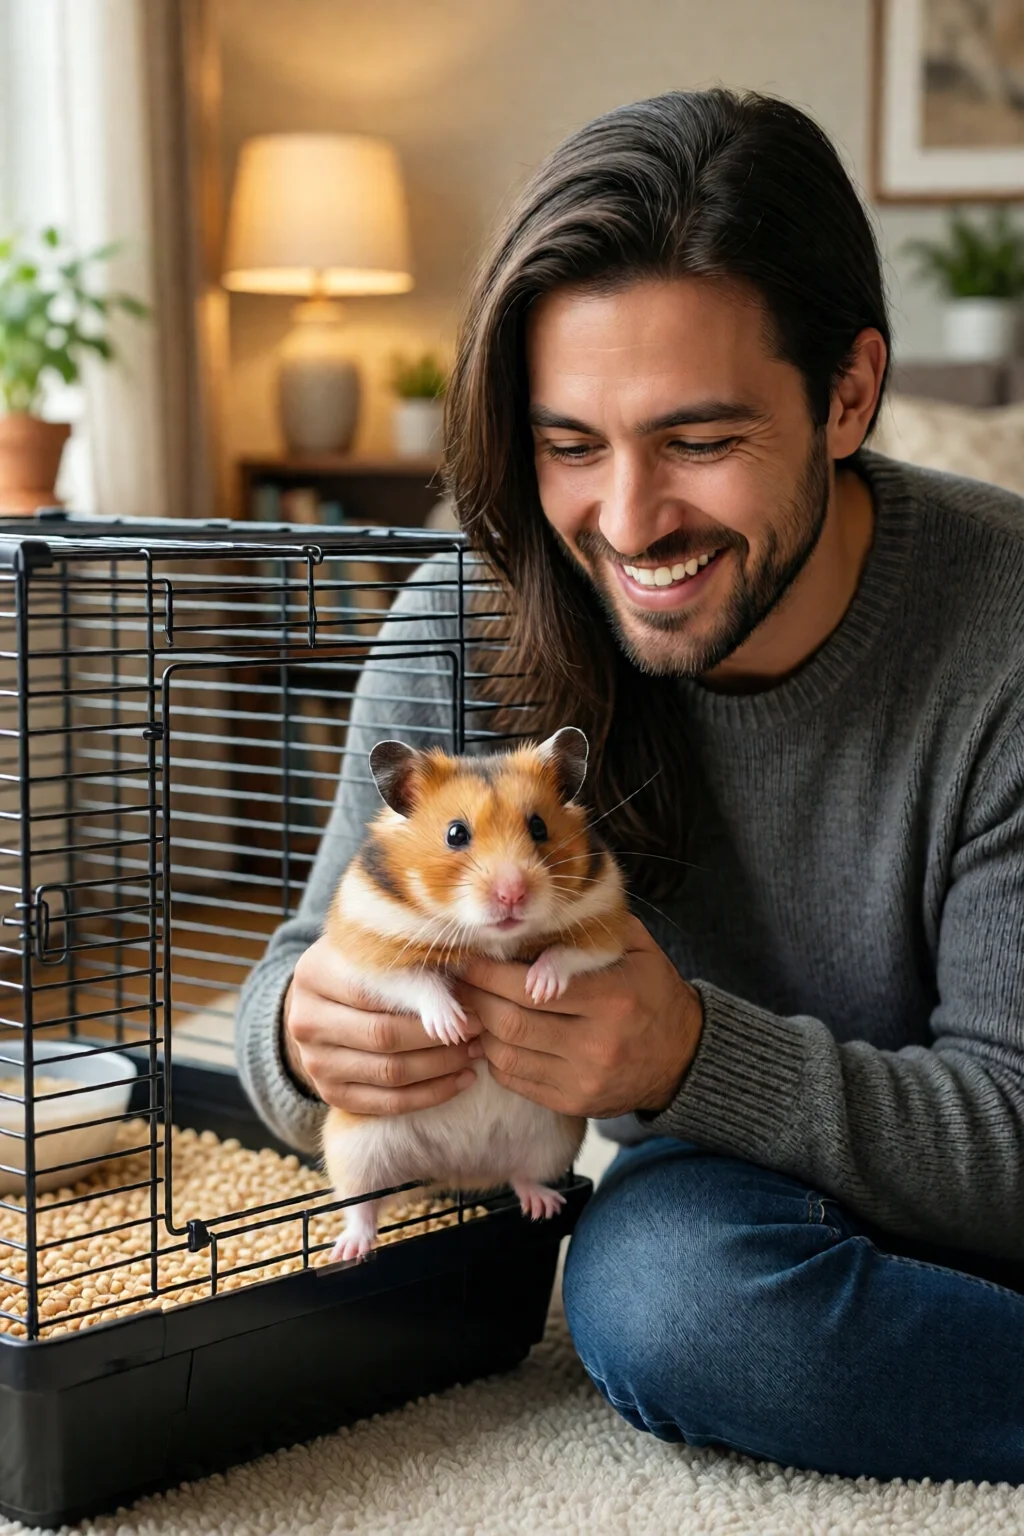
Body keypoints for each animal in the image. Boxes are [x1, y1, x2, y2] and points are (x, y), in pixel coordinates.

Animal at [321, 726, 630, 1262]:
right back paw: (349, 1249)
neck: (489, 938)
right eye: (455, 834)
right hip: (357, 1149)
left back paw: (543, 1206)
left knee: (522, 1174)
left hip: (552, 1140)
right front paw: (455, 1027)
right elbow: (415, 982)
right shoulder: (368, 945)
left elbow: (566, 954)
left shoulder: (604, 925)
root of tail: (458, 1171)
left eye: (539, 827)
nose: (512, 894)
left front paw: (538, 989)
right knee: (363, 1206)